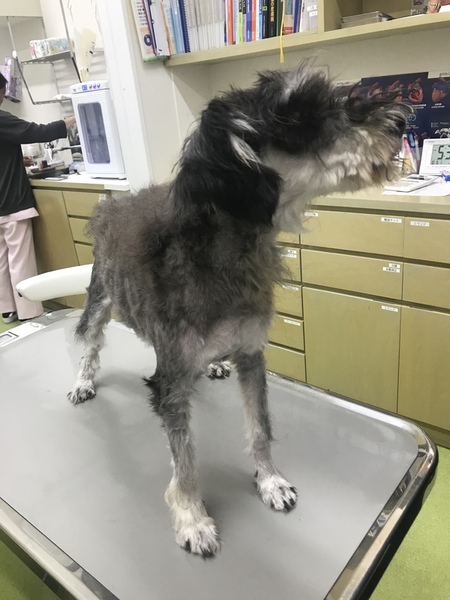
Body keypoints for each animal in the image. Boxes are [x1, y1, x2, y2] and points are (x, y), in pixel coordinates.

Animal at [68, 66, 409, 557]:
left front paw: (270, 482)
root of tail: (114, 202)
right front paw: (192, 517)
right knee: (90, 340)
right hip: (100, 296)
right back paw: (82, 381)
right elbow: (185, 460)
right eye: (298, 115)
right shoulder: (170, 383)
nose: (401, 121)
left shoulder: (251, 354)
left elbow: (260, 428)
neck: (226, 253)